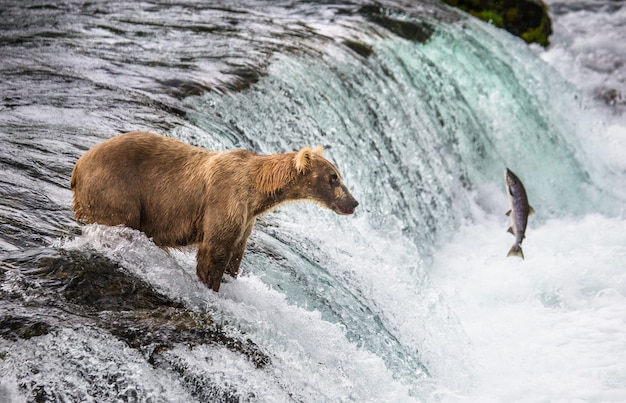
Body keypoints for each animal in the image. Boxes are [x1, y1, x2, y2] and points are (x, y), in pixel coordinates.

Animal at [69, 131, 356, 292]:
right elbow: (214, 252)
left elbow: (234, 256)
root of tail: (78, 166)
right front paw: (212, 286)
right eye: (333, 178)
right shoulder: (225, 200)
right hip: (117, 189)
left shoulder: (246, 220)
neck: (258, 192)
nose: (354, 203)